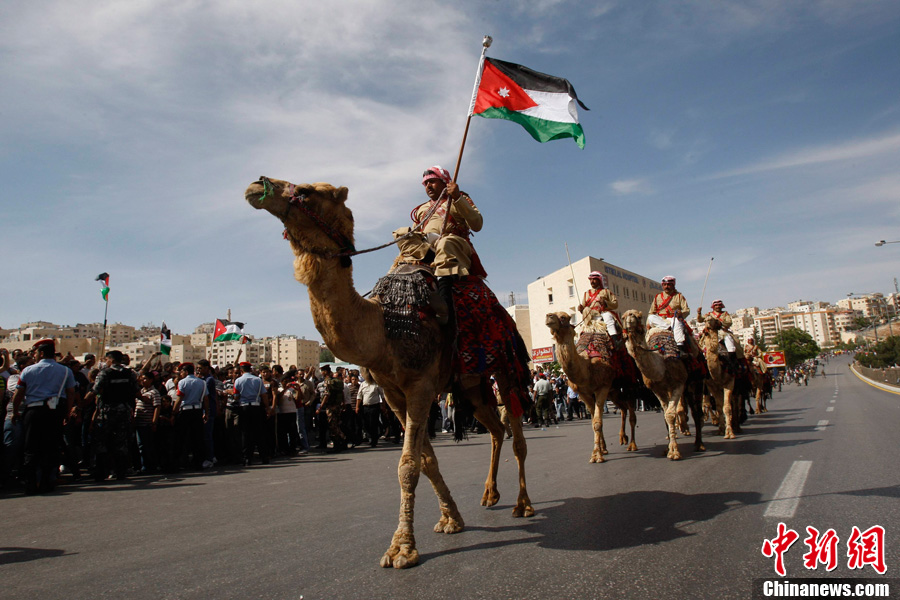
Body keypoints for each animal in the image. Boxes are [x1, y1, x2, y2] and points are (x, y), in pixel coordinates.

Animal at [244, 177, 536, 568]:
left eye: (307, 191)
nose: (256, 184)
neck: (383, 326)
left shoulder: (421, 385)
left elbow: (408, 464)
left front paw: (402, 548)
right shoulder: (393, 392)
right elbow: (426, 460)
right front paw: (451, 519)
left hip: (503, 365)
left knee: (516, 435)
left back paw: (523, 504)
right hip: (472, 385)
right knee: (495, 428)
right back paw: (490, 495)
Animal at [540, 312, 640, 462]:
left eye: (564, 317)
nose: (549, 316)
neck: (587, 367)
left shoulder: (602, 387)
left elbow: (597, 422)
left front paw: (597, 456)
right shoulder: (584, 393)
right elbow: (593, 421)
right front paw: (602, 450)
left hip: (628, 382)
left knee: (631, 411)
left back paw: (633, 445)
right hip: (614, 391)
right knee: (623, 407)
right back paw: (623, 437)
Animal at [620, 310, 704, 460]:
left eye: (638, 316)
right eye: (623, 317)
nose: (630, 318)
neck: (661, 364)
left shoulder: (678, 383)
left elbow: (670, 414)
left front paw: (674, 452)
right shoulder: (658, 390)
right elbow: (666, 414)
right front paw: (668, 448)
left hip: (697, 380)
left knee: (697, 412)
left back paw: (699, 444)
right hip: (687, 387)